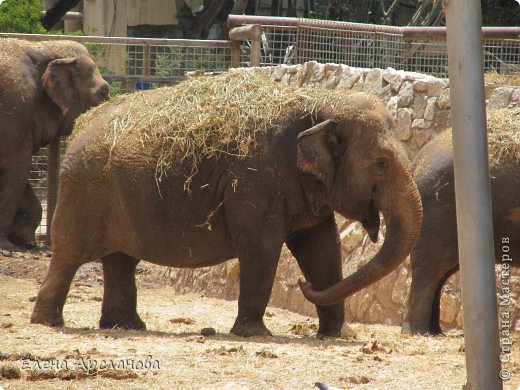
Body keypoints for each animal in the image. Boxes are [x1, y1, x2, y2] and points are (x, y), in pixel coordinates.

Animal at [0, 38, 109, 250]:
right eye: (103, 92)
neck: (42, 46)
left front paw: (23, 239)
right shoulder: (15, 114)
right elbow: (17, 170)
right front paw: (8, 245)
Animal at [30, 71, 422, 338]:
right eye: (382, 163)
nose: (300, 287)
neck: (322, 100)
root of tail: (79, 127)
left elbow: (323, 248)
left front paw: (336, 335)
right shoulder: (257, 179)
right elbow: (262, 247)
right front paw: (254, 334)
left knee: (120, 261)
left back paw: (125, 326)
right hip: (83, 193)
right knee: (69, 255)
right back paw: (48, 323)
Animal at [402, 122, 516, 336]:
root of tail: (416, 162)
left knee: (441, 271)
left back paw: (435, 332)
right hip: (437, 210)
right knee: (430, 267)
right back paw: (418, 332)